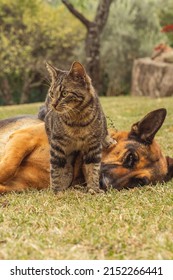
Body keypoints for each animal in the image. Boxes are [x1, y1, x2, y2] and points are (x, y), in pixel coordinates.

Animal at [0, 108, 173, 194]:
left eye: (138, 182)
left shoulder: (18, 186)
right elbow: (9, 168)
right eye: (130, 157)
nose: (104, 184)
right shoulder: (24, 138)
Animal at [43, 60, 113, 192]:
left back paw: (108, 140)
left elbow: (92, 169)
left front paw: (94, 189)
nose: (53, 104)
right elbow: (56, 170)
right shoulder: (57, 145)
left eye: (64, 93)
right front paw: (56, 190)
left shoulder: (93, 146)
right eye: (52, 93)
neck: (77, 121)